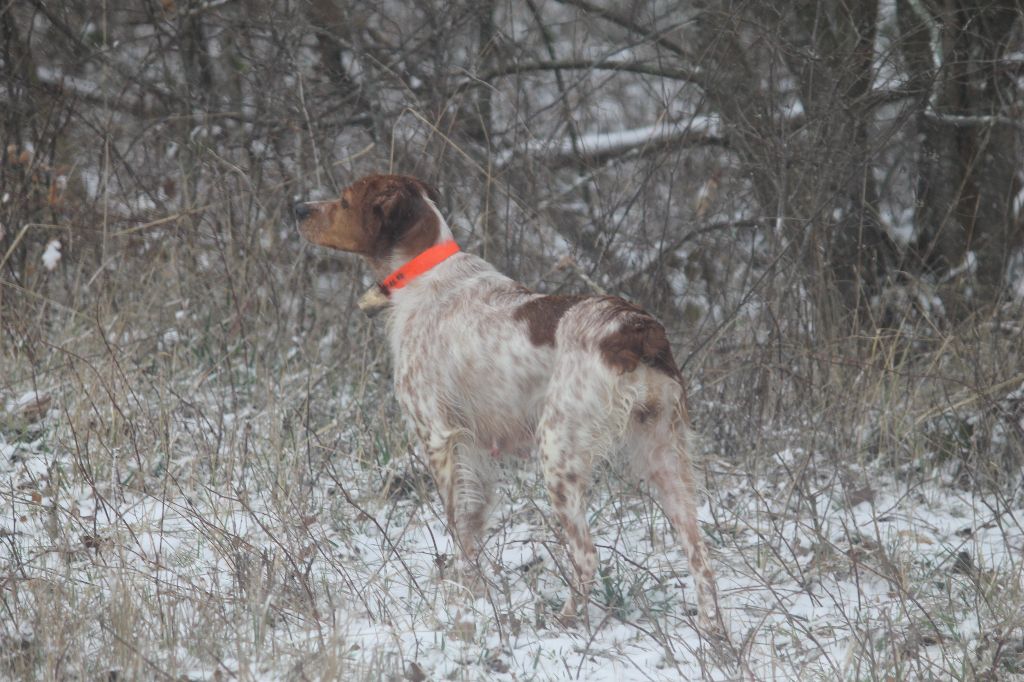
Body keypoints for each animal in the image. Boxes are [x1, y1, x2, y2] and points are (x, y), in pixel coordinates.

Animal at [294, 171, 720, 626]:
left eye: (344, 201)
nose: (298, 208)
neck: (424, 273)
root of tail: (636, 328)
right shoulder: (476, 449)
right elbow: (474, 527)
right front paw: (479, 595)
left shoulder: (438, 437)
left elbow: (459, 529)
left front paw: (461, 599)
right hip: (664, 455)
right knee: (700, 553)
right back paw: (712, 632)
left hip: (559, 453)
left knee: (587, 556)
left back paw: (564, 619)